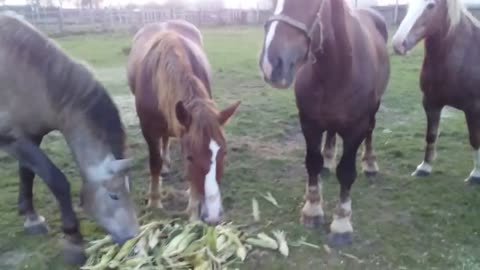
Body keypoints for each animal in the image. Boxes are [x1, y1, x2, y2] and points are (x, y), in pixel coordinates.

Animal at [0, 11, 139, 264]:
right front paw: (73, 238)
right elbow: (56, 180)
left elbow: (27, 174)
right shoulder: (10, 138)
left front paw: (30, 217)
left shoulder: (29, 137)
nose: (133, 236)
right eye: (114, 196)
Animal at [127, 20, 240, 225]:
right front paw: (155, 201)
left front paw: (192, 203)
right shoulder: (148, 129)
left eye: (224, 153)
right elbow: (154, 162)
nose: (212, 217)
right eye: (190, 157)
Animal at [258, 0, 390, 246]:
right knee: (331, 133)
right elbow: (312, 162)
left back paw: (370, 164)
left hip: (374, 108)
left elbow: (346, 172)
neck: (339, 66)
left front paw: (341, 223)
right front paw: (312, 209)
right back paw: (328, 161)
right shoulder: (309, 122)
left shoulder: (356, 127)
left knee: (371, 131)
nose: (271, 64)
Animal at [394, 0, 480, 184]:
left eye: (431, 5)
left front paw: (476, 175)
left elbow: (474, 139)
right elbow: (431, 135)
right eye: (408, 5)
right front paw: (424, 167)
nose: (399, 44)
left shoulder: (473, 108)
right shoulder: (431, 103)